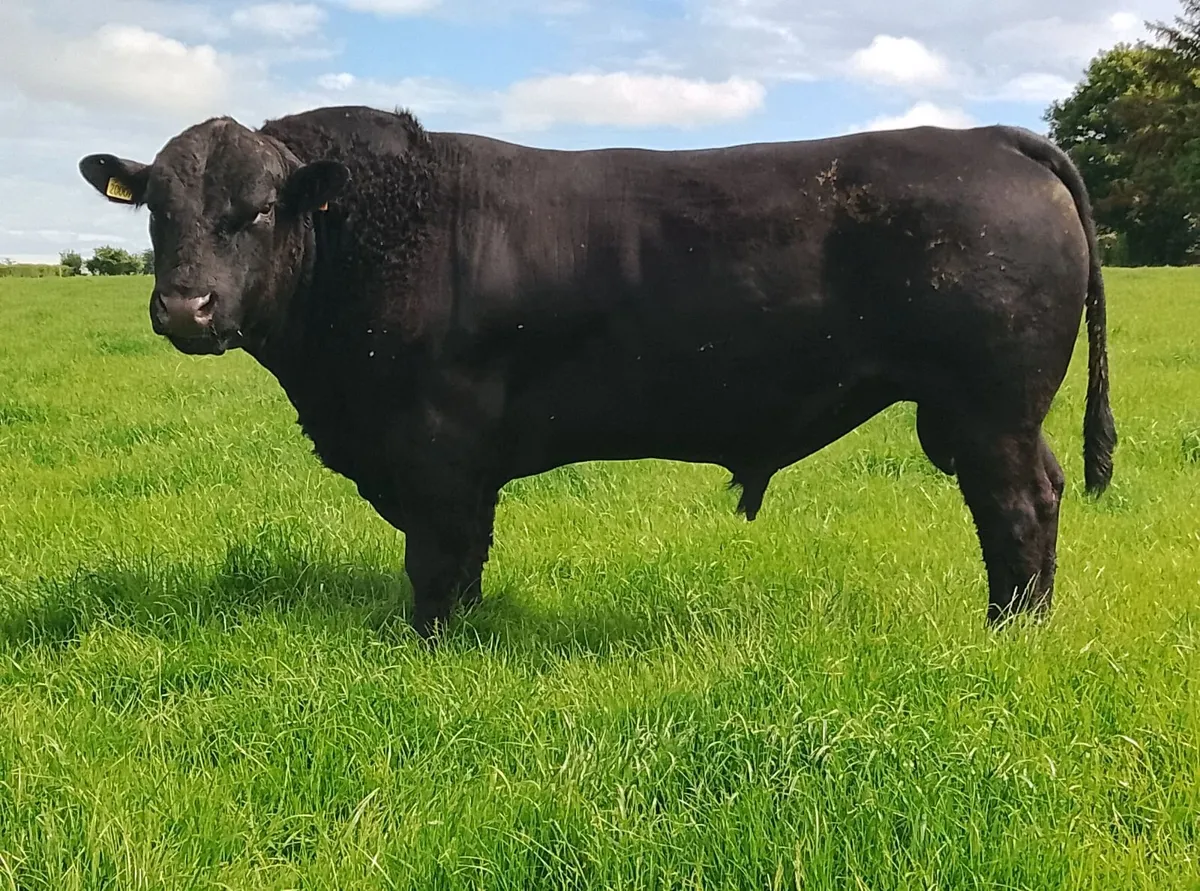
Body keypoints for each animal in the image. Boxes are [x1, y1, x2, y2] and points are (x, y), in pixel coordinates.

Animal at [77, 105, 1116, 638]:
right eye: (157, 211)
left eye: (255, 210)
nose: (184, 307)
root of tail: (989, 136)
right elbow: (465, 556)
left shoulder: (436, 445)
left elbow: (437, 559)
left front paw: (431, 642)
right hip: (984, 412)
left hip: (989, 408)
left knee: (1019, 506)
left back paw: (1011, 629)